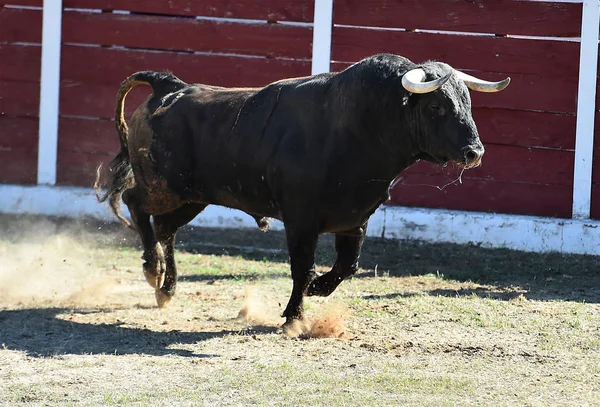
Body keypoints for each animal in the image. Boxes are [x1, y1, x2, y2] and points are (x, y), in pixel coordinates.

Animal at [96, 54, 508, 328]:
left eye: (467, 102)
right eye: (437, 105)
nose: (474, 152)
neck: (359, 128)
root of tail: (171, 87)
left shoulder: (355, 218)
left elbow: (347, 266)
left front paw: (318, 291)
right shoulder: (300, 220)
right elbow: (302, 268)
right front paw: (294, 317)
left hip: (193, 196)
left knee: (166, 228)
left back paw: (165, 288)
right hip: (165, 187)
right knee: (135, 203)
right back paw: (152, 270)